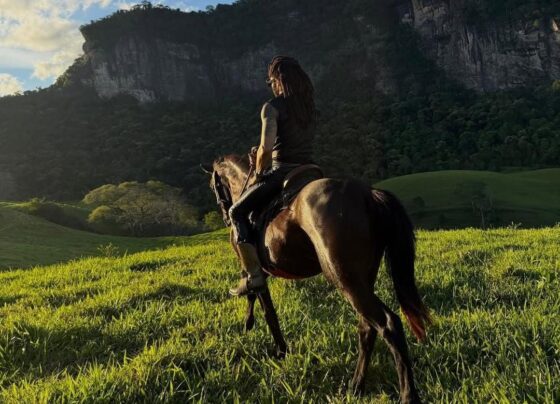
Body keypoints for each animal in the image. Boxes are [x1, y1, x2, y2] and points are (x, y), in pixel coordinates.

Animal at [203, 155, 430, 404]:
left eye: (213, 186)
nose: (226, 217)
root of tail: (368, 194)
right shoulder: (262, 271)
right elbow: (258, 299)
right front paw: (254, 327)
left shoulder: (254, 268)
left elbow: (265, 307)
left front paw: (278, 348)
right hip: (363, 280)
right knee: (367, 327)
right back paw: (356, 386)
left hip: (344, 278)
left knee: (388, 324)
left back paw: (407, 395)